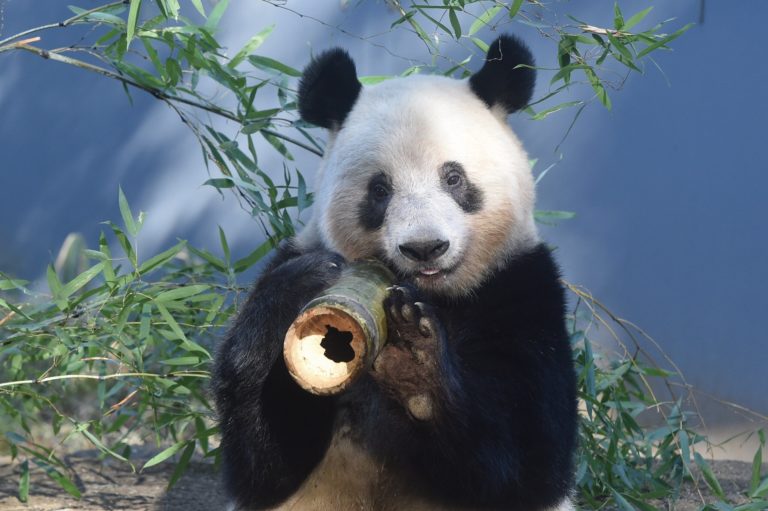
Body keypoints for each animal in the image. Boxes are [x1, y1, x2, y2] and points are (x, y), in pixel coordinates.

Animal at [212, 34, 578, 511]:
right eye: (380, 189)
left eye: (453, 178)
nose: (425, 248)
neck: (430, 294)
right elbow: (262, 464)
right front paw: (303, 282)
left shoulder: (522, 290)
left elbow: (529, 460)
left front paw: (416, 365)